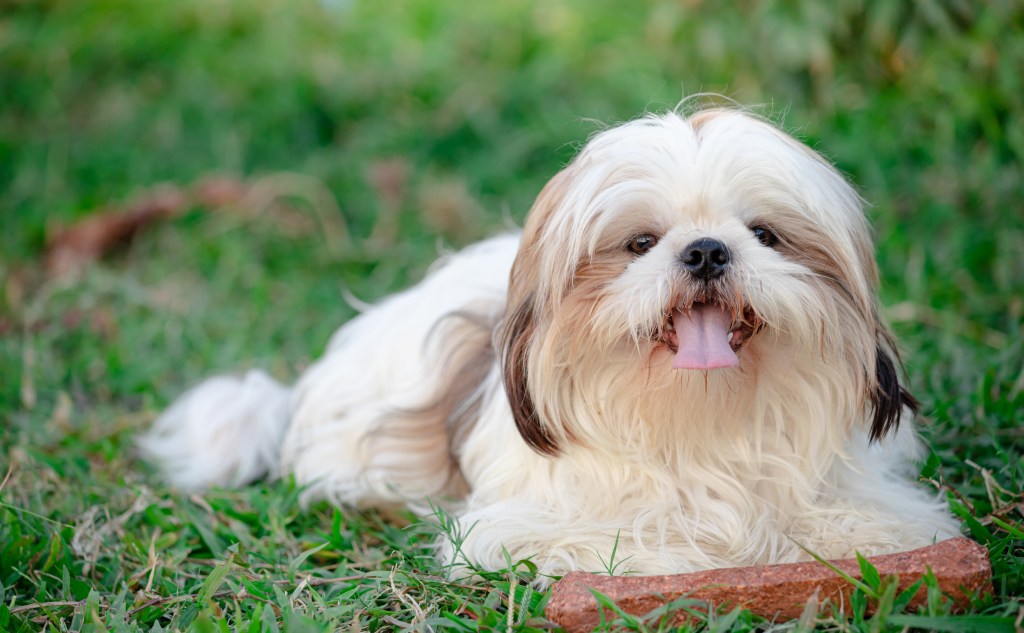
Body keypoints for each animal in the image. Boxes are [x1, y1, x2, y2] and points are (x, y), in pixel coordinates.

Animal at [144, 106, 958, 577]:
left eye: (764, 234)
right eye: (640, 243)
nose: (705, 251)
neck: (698, 417)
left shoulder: (886, 505)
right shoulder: (523, 527)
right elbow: (638, 537)